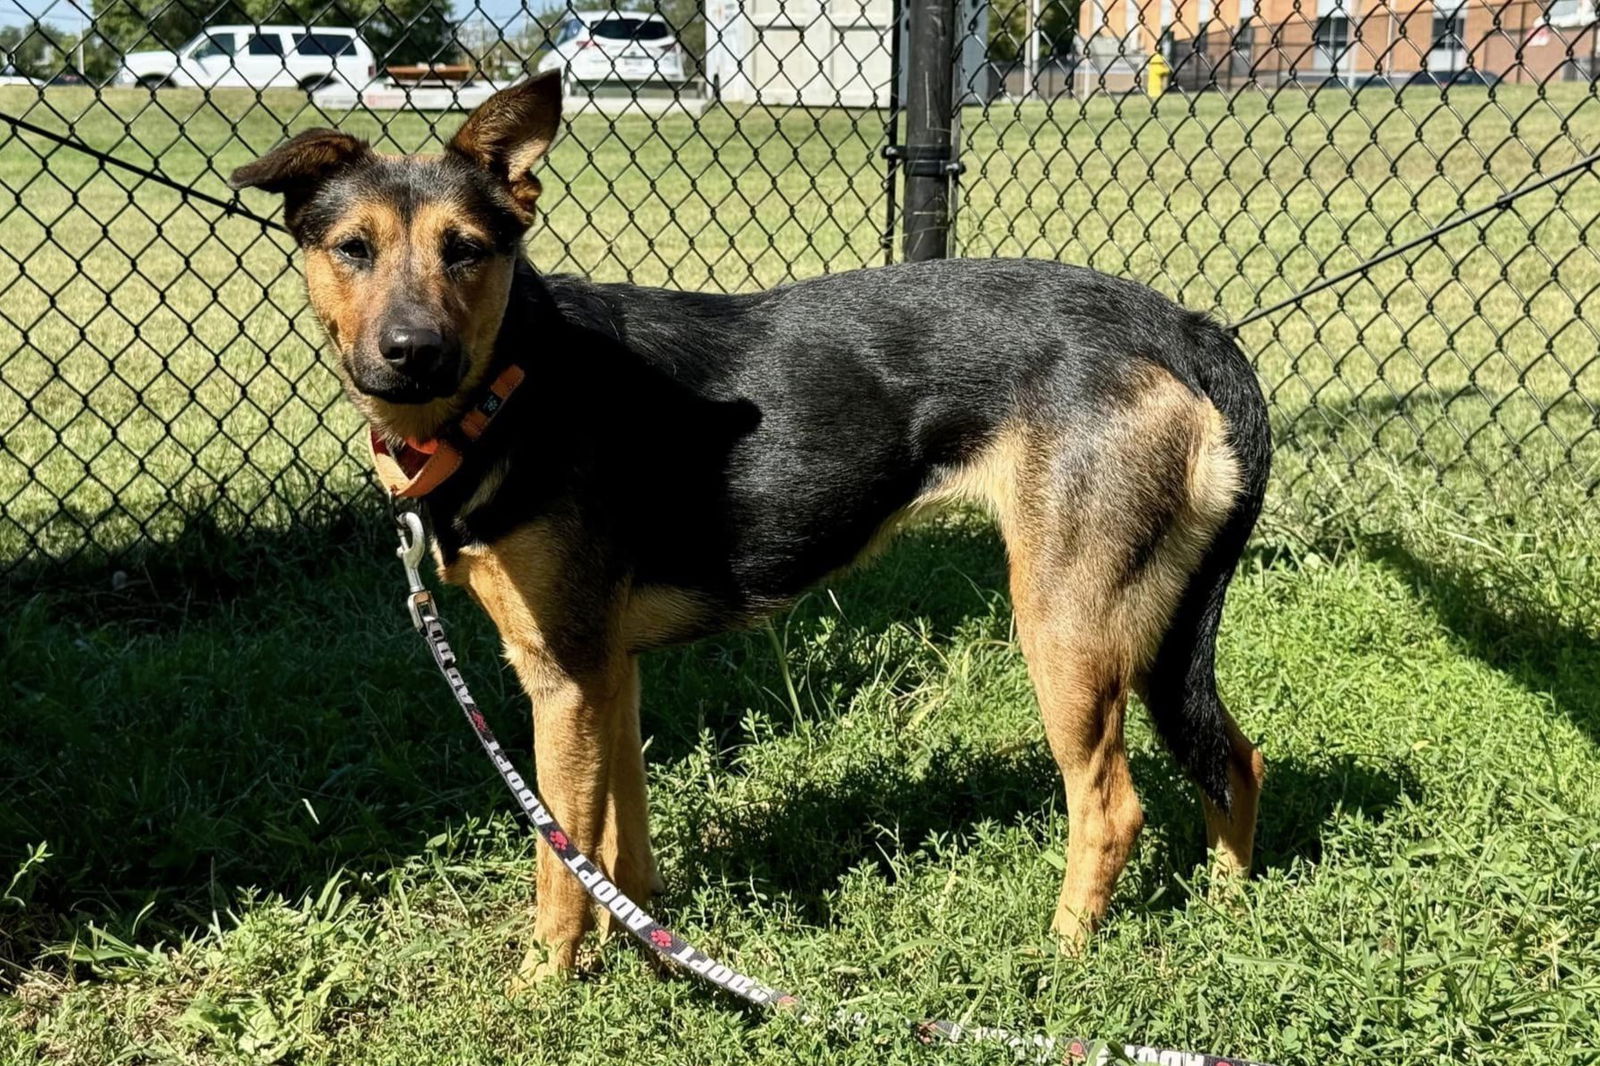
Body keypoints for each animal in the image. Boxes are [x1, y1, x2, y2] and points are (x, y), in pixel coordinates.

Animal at [228, 72, 1273, 979]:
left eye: (467, 251)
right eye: (352, 249)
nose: (413, 353)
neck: (513, 384)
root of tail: (1183, 325)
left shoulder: (560, 679)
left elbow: (560, 863)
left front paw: (544, 985)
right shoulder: (608, 676)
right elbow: (618, 842)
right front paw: (654, 950)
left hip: (1067, 627)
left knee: (1113, 806)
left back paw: (1058, 958)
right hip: (1157, 623)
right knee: (1234, 757)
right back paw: (1231, 913)